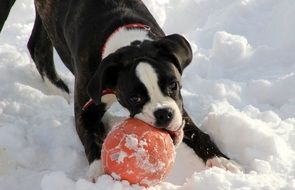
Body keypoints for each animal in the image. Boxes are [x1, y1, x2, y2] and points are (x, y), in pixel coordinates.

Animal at [1, 0, 242, 181]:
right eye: (135, 98)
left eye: (173, 85)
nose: (163, 114)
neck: (128, 43)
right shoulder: (85, 111)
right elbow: (91, 140)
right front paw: (99, 172)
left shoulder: (178, 108)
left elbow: (197, 132)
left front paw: (221, 160)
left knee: (38, 45)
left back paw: (60, 91)